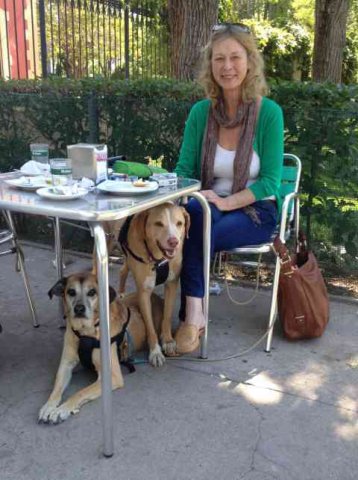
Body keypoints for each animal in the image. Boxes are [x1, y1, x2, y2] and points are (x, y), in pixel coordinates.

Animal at [38, 272, 162, 426]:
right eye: (71, 292)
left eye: (92, 292)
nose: (79, 309)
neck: (85, 332)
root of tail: (157, 297)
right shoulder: (65, 365)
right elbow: (56, 388)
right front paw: (48, 406)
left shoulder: (111, 376)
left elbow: (81, 392)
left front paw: (61, 410)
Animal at [119, 202, 190, 368]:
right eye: (158, 224)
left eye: (179, 223)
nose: (174, 242)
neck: (158, 259)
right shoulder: (143, 291)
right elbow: (149, 325)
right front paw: (155, 352)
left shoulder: (172, 284)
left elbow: (167, 316)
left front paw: (168, 341)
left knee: (122, 269)